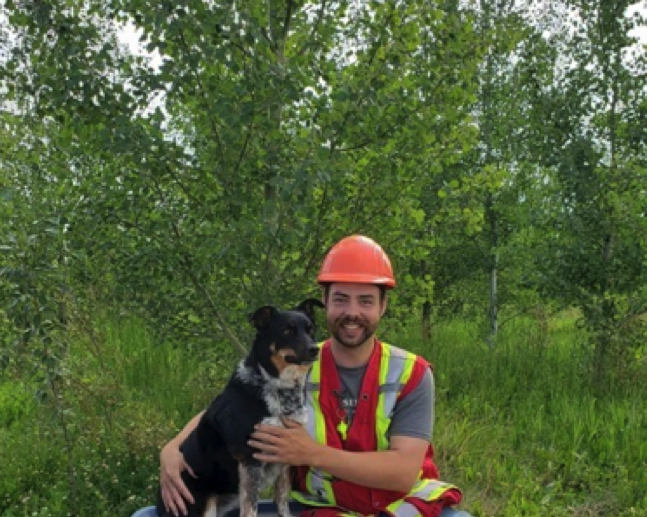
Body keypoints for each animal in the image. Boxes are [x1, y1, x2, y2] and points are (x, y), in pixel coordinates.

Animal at [157, 296, 324, 516]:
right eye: (287, 330)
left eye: (310, 329)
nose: (314, 349)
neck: (278, 388)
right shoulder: (250, 459)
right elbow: (251, 508)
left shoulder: (285, 455)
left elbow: (282, 501)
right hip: (206, 502)